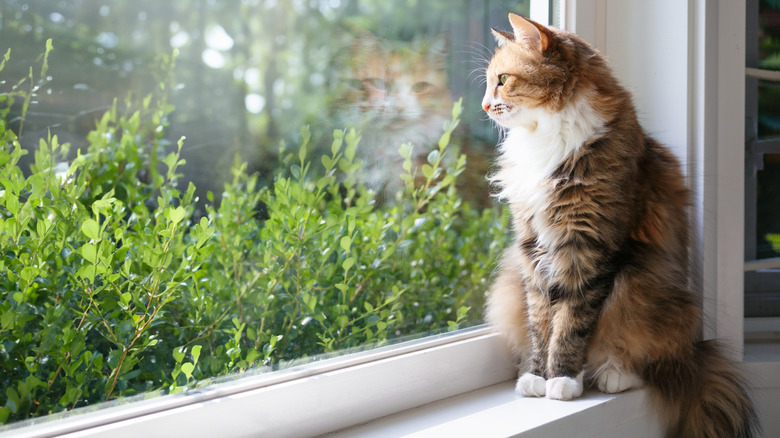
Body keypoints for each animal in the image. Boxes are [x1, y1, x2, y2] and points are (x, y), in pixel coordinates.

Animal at [478, 13, 760, 438]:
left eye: (503, 79)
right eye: (490, 80)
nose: (483, 105)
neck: (546, 139)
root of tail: (694, 351)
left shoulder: (588, 246)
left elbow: (571, 323)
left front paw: (562, 379)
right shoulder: (533, 250)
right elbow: (541, 323)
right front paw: (537, 376)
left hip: (641, 282)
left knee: (637, 352)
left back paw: (613, 373)